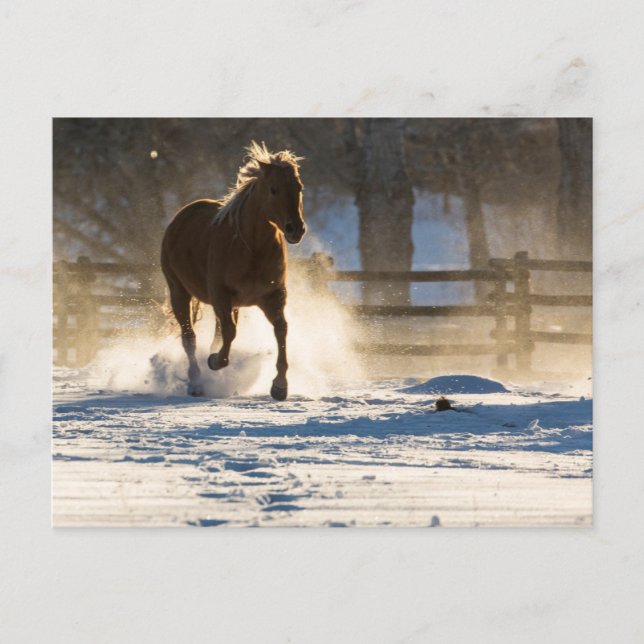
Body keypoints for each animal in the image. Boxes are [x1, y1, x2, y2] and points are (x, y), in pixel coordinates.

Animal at [160, 141, 306, 400]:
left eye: (298, 188)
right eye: (274, 189)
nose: (295, 229)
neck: (252, 249)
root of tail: (180, 217)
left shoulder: (273, 296)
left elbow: (281, 329)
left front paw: (280, 386)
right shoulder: (221, 295)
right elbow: (229, 332)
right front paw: (215, 361)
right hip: (179, 292)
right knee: (189, 338)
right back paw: (196, 383)